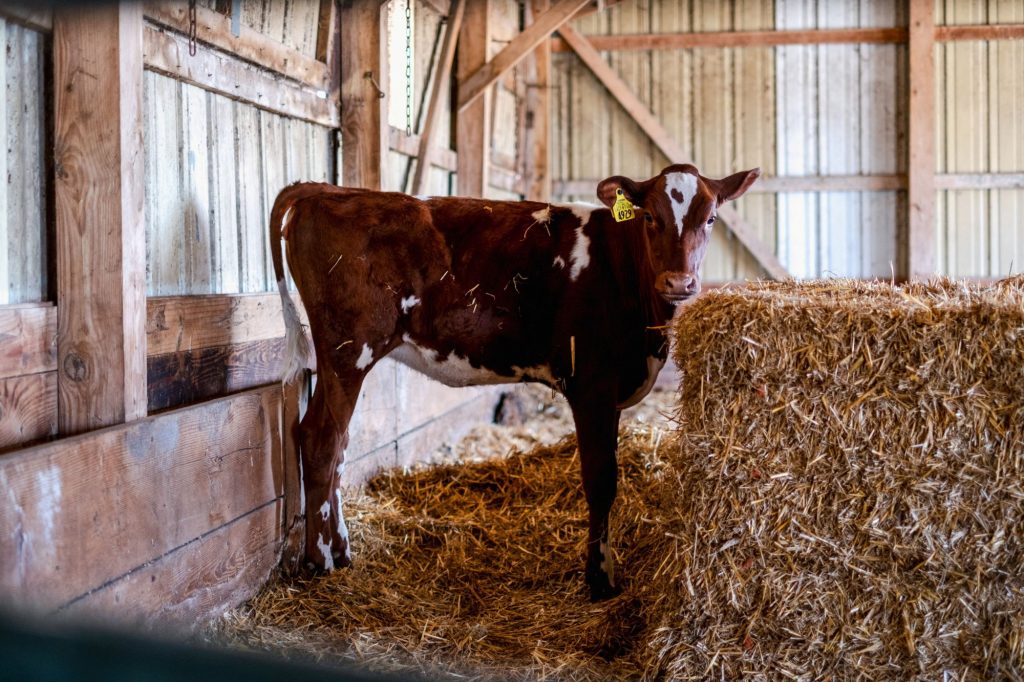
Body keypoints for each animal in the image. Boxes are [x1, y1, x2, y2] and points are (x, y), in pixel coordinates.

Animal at [268, 164, 757, 602]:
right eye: (650, 217)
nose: (679, 281)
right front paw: (600, 580)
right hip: (348, 349)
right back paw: (321, 560)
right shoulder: (592, 386)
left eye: (710, 219)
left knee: (334, 443)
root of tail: (328, 189)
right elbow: (601, 482)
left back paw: (341, 551)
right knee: (321, 439)